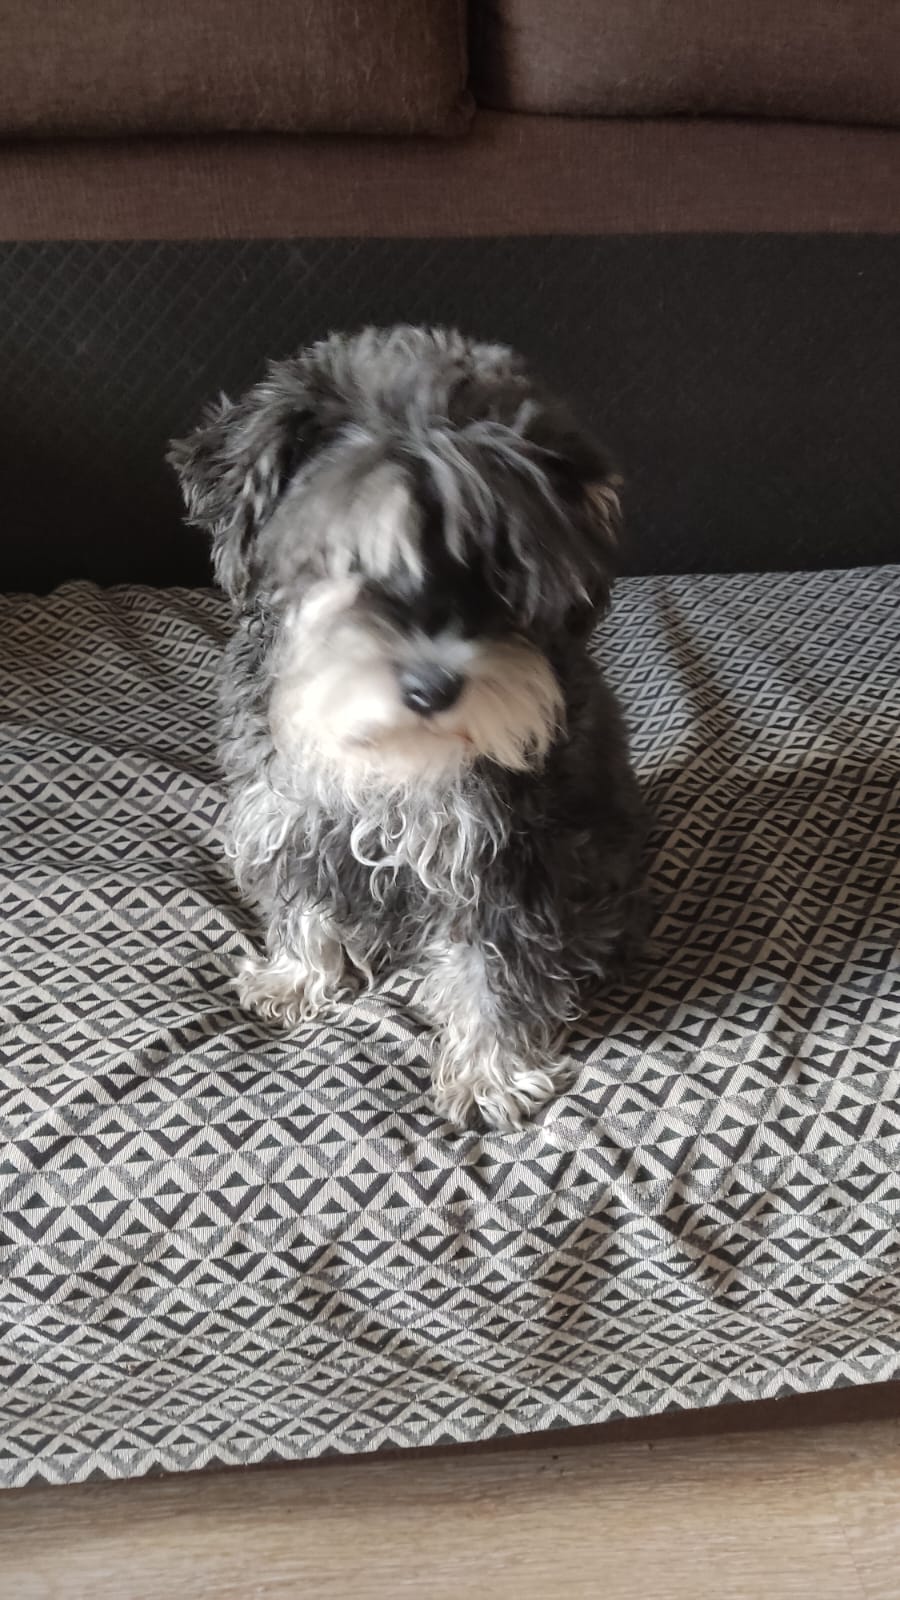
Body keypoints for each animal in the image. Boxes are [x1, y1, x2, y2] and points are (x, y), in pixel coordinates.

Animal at [169, 326, 644, 1129]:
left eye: (502, 564)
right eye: (349, 553)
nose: (433, 686)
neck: (389, 759)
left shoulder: (502, 859)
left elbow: (494, 968)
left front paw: (489, 1074)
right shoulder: (293, 816)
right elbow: (303, 904)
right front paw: (294, 978)